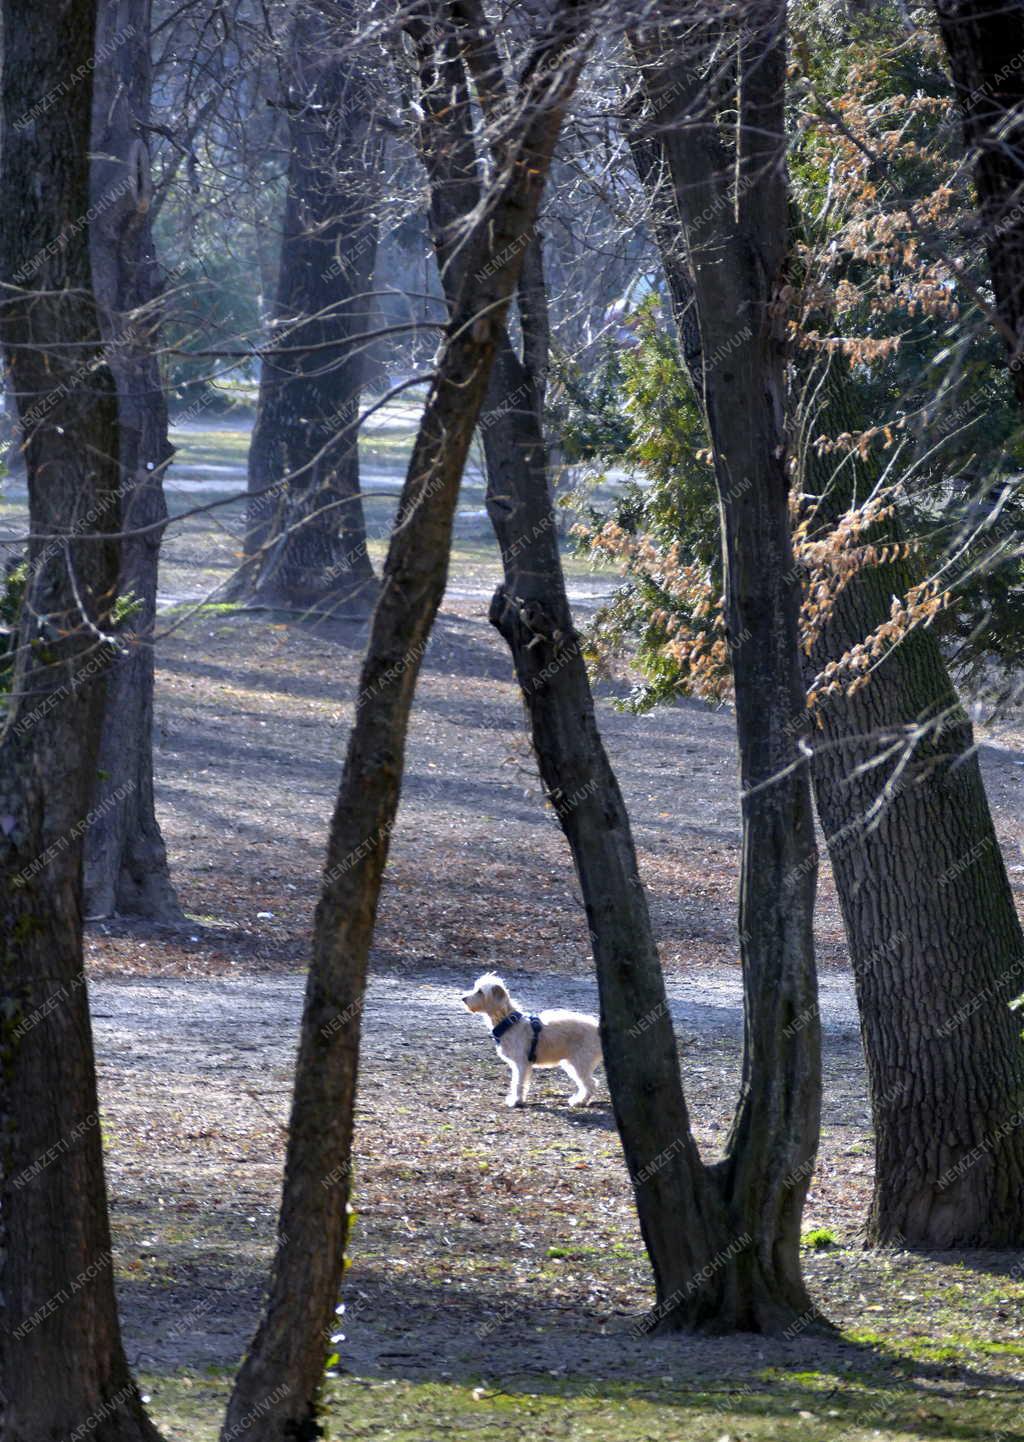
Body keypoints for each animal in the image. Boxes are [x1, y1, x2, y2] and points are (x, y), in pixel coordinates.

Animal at [464, 974, 605, 1107]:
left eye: (480, 991)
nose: (463, 999)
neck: (508, 1022)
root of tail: (598, 1028)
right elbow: (516, 1082)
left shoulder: (521, 1063)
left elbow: (518, 1083)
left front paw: (516, 1101)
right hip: (572, 1064)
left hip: (580, 1063)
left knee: (591, 1083)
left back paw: (580, 1101)